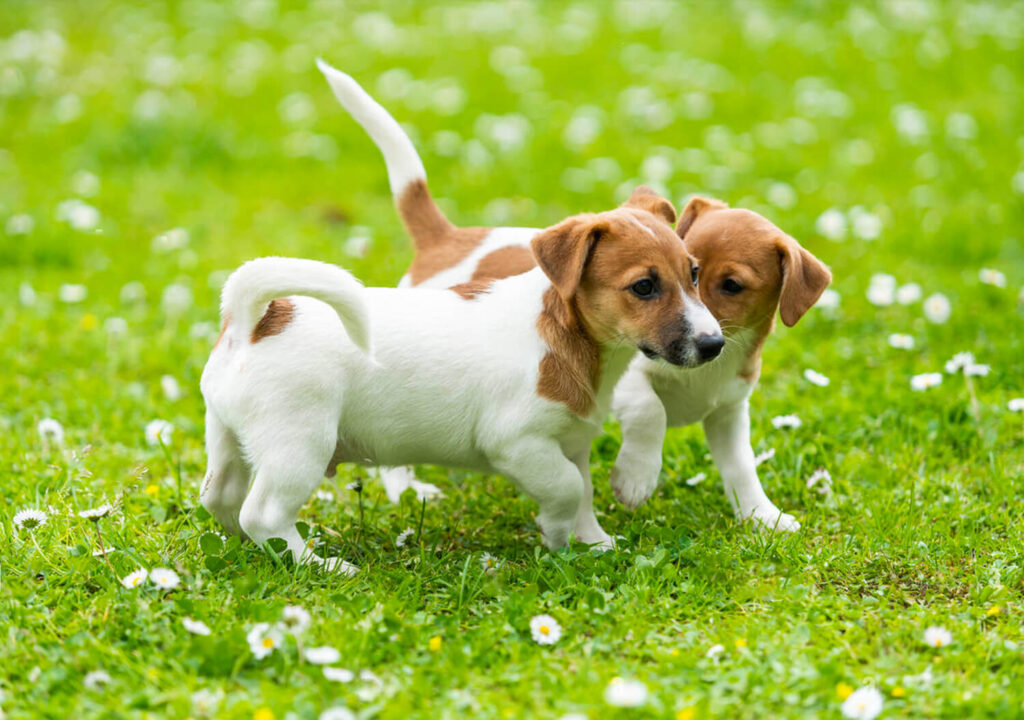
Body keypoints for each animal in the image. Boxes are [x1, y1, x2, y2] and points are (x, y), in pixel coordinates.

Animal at [199, 199, 724, 565]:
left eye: (695, 274)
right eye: (644, 287)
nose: (715, 344)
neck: (562, 332)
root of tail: (254, 321)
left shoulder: (571, 441)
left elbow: (585, 494)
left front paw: (594, 543)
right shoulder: (519, 443)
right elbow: (566, 489)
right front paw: (557, 538)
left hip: (228, 440)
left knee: (220, 499)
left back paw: (243, 547)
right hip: (299, 447)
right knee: (263, 514)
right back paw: (320, 564)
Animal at [319, 61, 831, 532]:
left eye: (727, 284)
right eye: (648, 286)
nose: (711, 344)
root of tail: (446, 238)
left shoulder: (728, 412)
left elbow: (741, 466)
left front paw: (764, 516)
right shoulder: (630, 379)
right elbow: (650, 413)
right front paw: (635, 479)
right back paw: (407, 489)